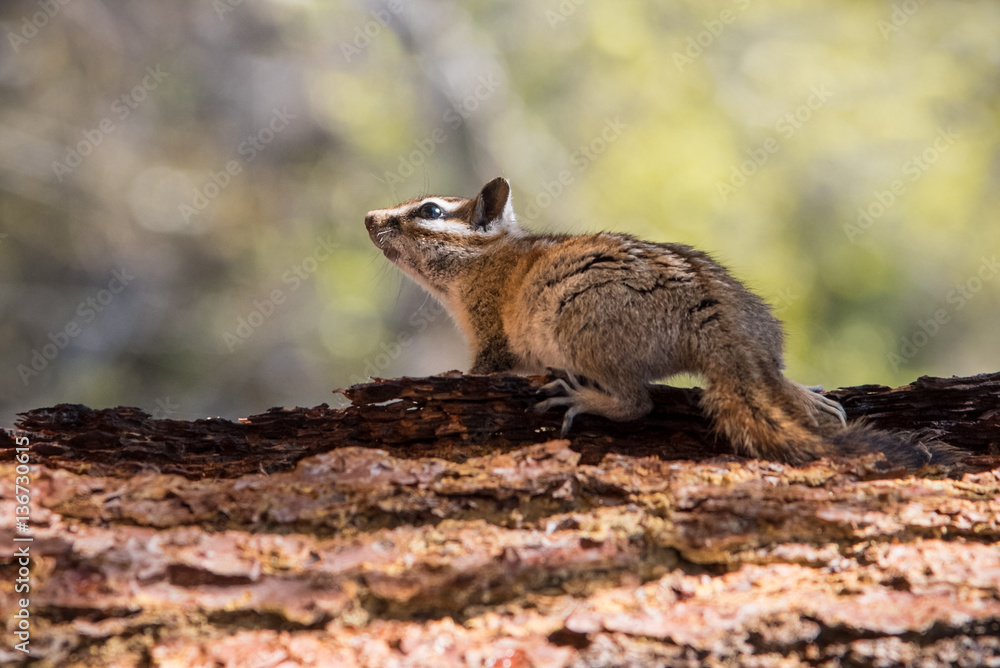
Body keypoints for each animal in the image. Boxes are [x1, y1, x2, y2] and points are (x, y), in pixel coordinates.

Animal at [364, 177, 958, 467]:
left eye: (431, 211)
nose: (368, 217)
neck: (489, 261)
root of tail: (726, 332)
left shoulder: (491, 335)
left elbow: (485, 370)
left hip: (584, 330)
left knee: (637, 402)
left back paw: (586, 399)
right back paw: (808, 397)